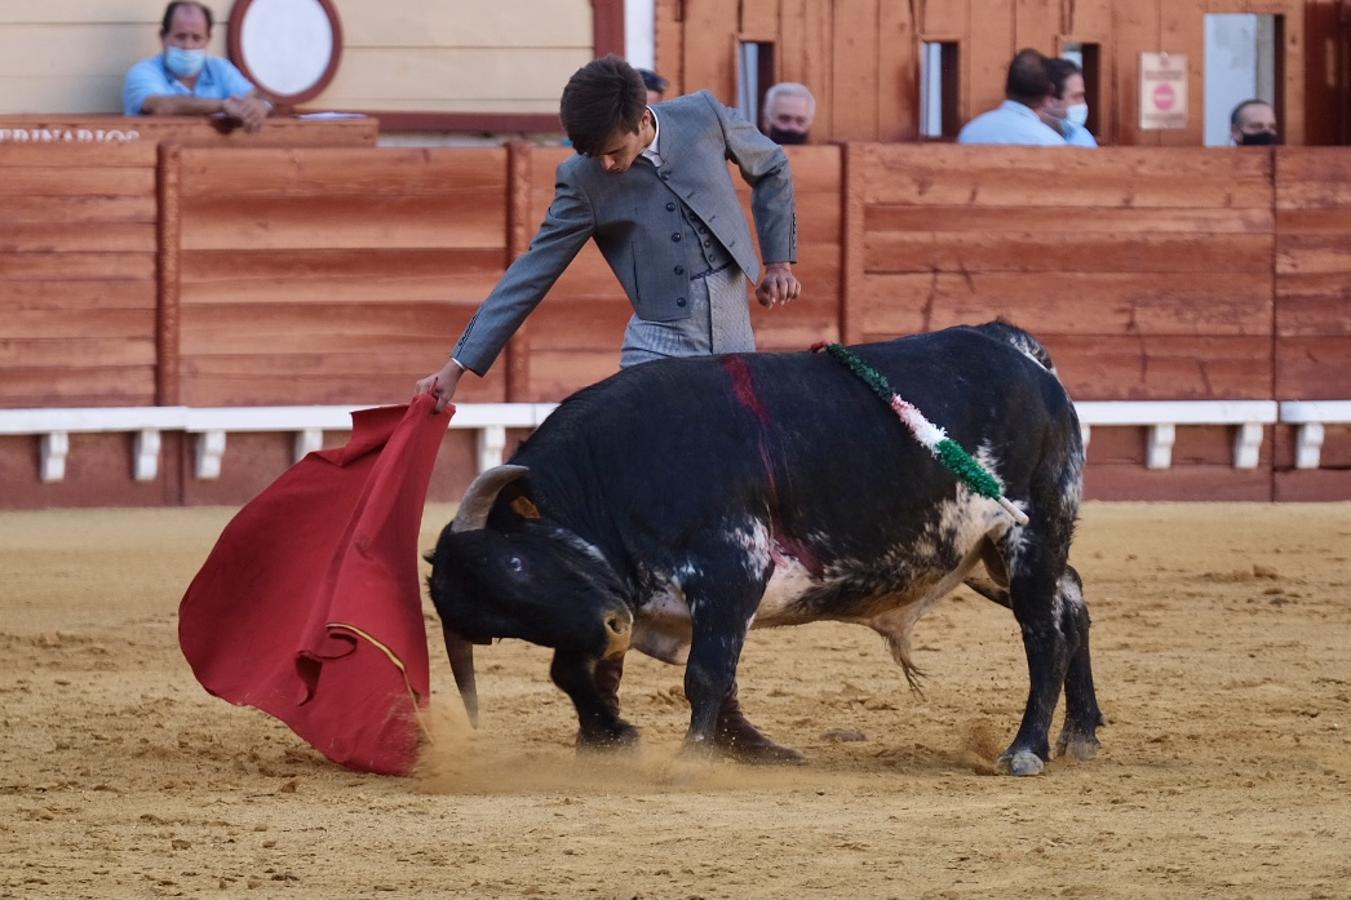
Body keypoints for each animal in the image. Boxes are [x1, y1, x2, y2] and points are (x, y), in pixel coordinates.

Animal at [426, 320, 1102, 772]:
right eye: (499, 627)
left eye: (516, 561)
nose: (615, 626)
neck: (612, 471)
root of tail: (1016, 348)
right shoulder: (612, 602)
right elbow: (573, 671)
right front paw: (615, 736)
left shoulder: (732, 570)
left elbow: (705, 673)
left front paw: (691, 760)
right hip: (987, 557)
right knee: (1072, 601)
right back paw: (1082, 735)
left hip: (1029, 533)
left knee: (1044, 632)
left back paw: (1026, 750)